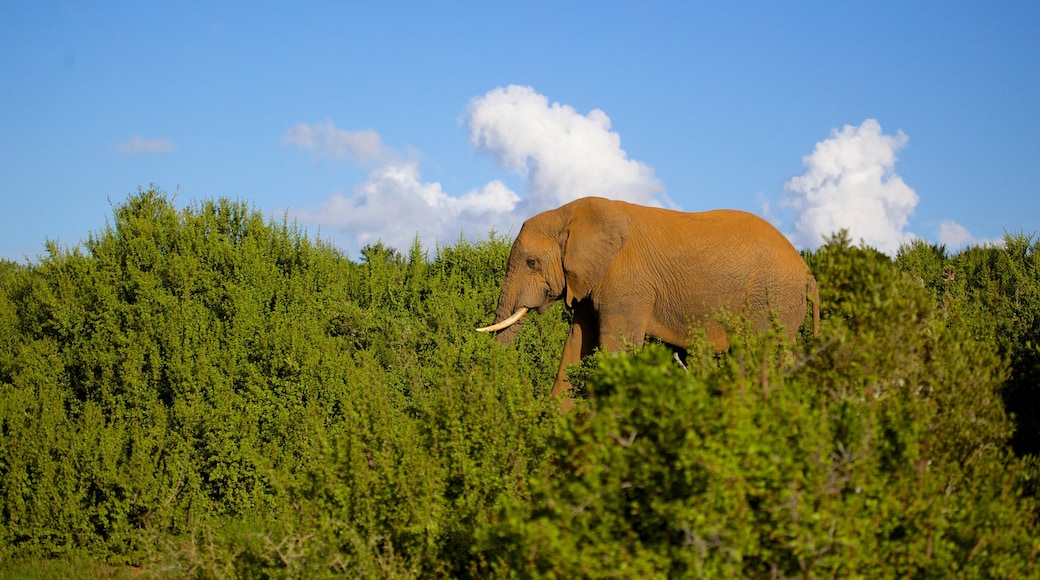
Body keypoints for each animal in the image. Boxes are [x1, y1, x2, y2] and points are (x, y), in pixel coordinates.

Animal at [476, 197, 819, 407]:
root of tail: (807, 271)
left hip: (770, 299)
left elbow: (616, 348)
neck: (570, 214)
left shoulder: (627, 284)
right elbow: (575, 344)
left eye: (531, 263)